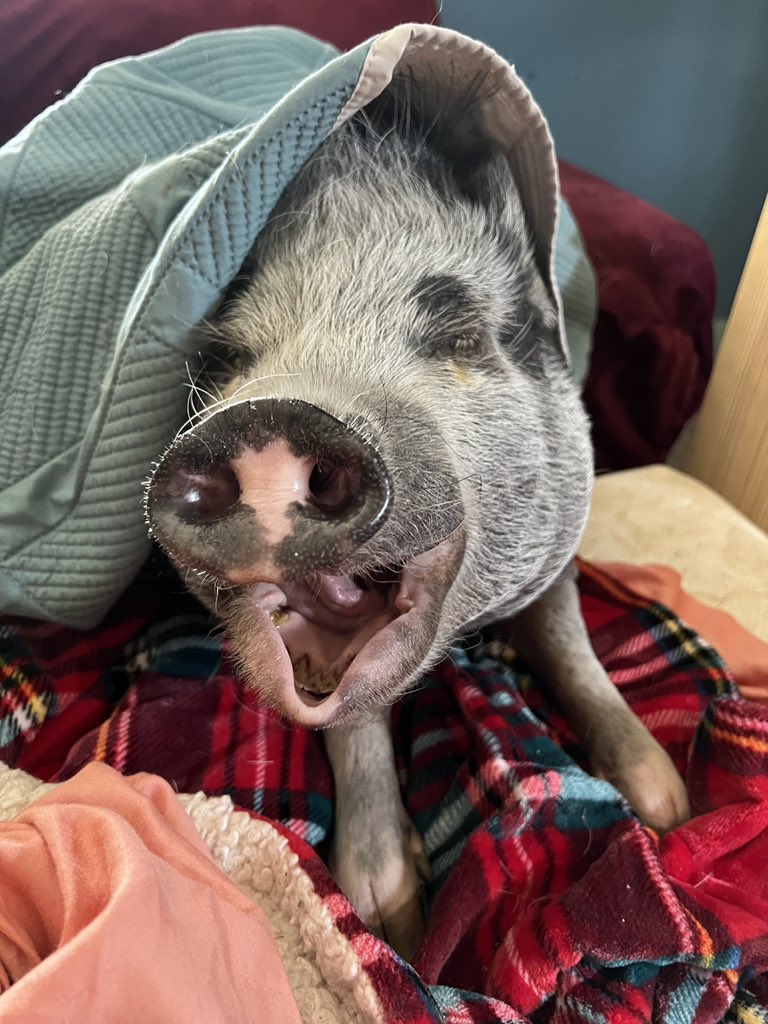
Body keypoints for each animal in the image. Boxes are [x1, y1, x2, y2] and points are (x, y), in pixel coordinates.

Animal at [144, 77, 692, 958]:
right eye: (228, 359)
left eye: (461, 337)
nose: (267, 415)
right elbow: (350, 717)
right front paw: (387, 913)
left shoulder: (562, 537)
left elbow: (569, 644)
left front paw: (665, 802)